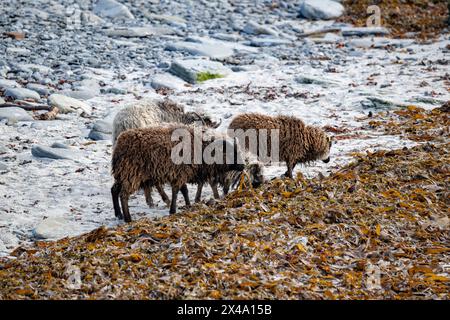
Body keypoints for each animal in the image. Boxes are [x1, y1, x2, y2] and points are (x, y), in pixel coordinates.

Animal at [111, 125, 244, 222]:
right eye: (230, 153)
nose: (243, 166)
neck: (200, 149)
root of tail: (119, 146)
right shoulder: (179, 173)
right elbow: (176, 191)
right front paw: (173, 210)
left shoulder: (181, 173)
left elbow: (184, 190)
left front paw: (188, 205)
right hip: (131, 173)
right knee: (123, 195)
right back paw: (128, 218)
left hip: (123, 173)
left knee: (114, 190)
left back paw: (119, 214)